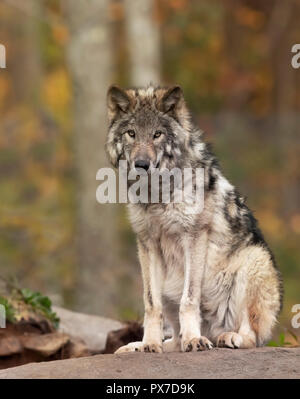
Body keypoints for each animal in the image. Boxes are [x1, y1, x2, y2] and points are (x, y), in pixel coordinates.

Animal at [105, 85, 282, 354]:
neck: (158, 195)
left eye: (157, 134)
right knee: (174, 339)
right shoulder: (147, 243)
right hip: (169, 285)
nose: (141, 164)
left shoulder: (194, 237)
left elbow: (189, 300)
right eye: (131, 134)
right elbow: (150, 304)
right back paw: (139, 346)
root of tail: (213, 330)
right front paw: (150, 344)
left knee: (252, 338)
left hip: (255, 260)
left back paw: (225, 338)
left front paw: (193, 340)